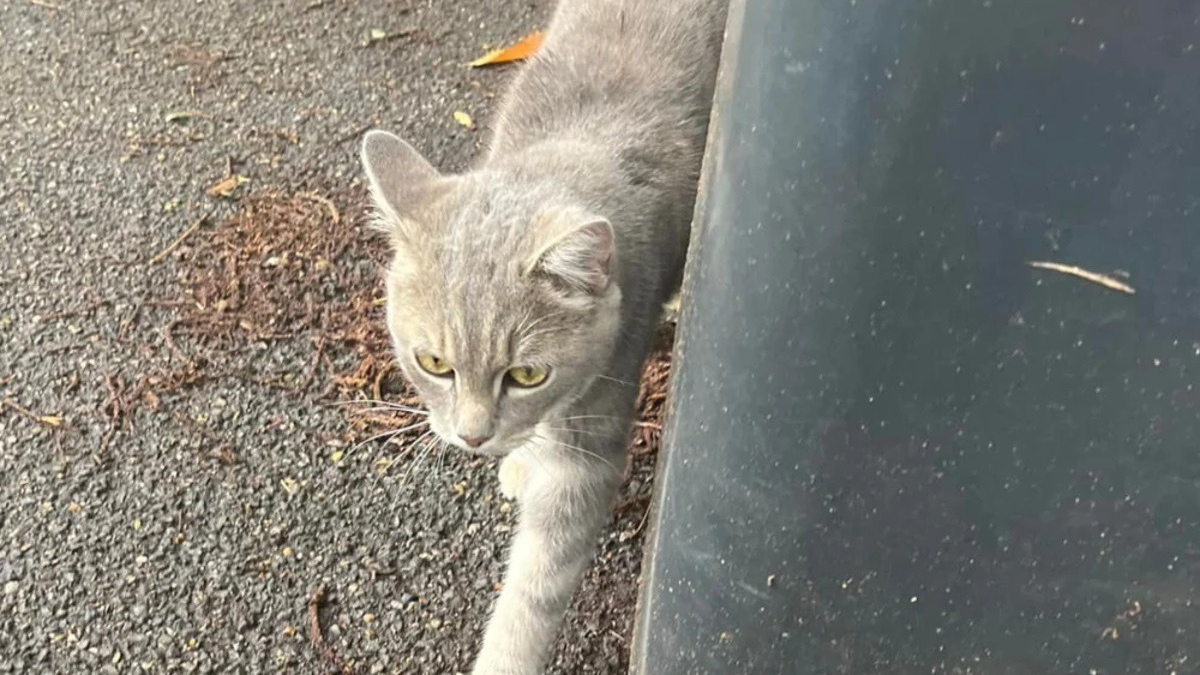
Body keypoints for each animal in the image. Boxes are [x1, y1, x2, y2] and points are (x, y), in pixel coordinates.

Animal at [360, 0, 724, 667]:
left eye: (527, 374)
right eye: (433, 363)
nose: (472, 437)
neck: (573, 147)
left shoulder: (593, 440)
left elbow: (534, 588)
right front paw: (522, 460)